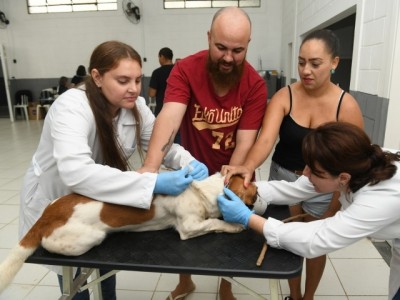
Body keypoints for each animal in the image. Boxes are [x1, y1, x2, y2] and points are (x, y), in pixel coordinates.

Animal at [0, 173, 256, 292]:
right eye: (253, 189)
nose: (259, 195)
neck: (201, 191)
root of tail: (46, 216)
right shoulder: (189, 227)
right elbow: (214, 223)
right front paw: (234, 225)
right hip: (89, 238)